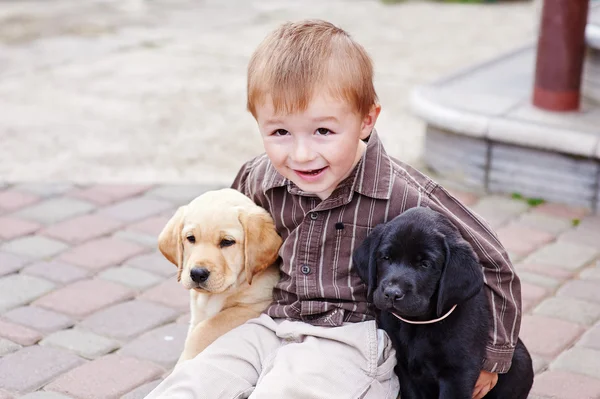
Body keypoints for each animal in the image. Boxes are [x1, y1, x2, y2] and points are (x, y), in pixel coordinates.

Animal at [352, 208, 536, 398]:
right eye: (386, 258)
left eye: (425, 264)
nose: (392, 294)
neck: (419, 324)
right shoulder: (404, 369)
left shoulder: (458, 374)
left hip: (521, 362)